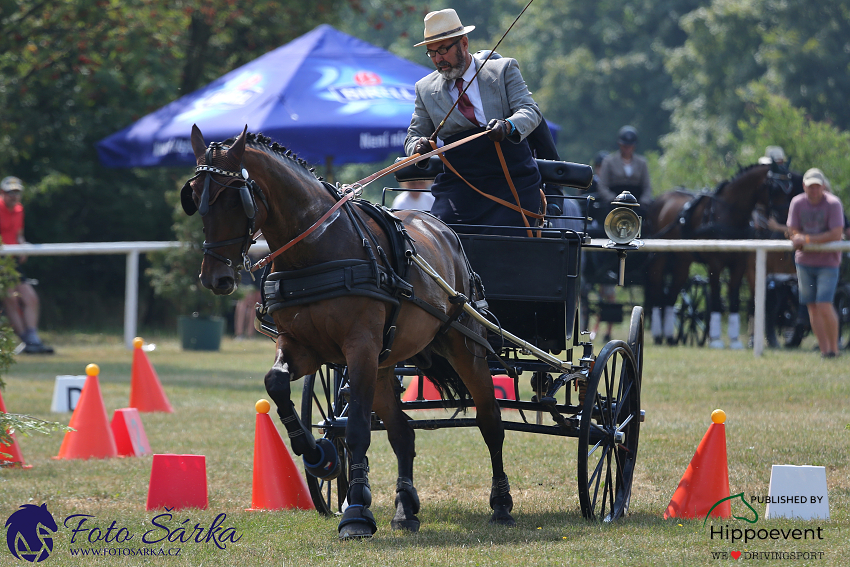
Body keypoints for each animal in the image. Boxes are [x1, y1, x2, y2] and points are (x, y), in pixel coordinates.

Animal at [180, 126, 512, 540]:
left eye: (233, 196)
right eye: (194, 196)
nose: (216, 278)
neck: (317, 248)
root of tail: (441, 229)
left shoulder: (360, 349)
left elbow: (355, 430)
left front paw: (355, 512)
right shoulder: (302, 346)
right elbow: (276, 383)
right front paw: (319, 456)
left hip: (463, 347)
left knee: (490, 421)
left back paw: (501, 503)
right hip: (386, 364)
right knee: (403, 432)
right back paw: (405, 508)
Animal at [644, 162, 796, 348]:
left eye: (789, 187)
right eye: (774, 188)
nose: (786, 219)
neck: (729, 213)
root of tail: (659, 200)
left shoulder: (739, 266)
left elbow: (734, 299)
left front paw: (735, 341)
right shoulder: (715, 265)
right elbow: (716, 299)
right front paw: (716, 340)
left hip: (682, 262)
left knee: (670, 296)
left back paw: (670, 337)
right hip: (659, 257)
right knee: (657, 291)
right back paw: (659, 335)